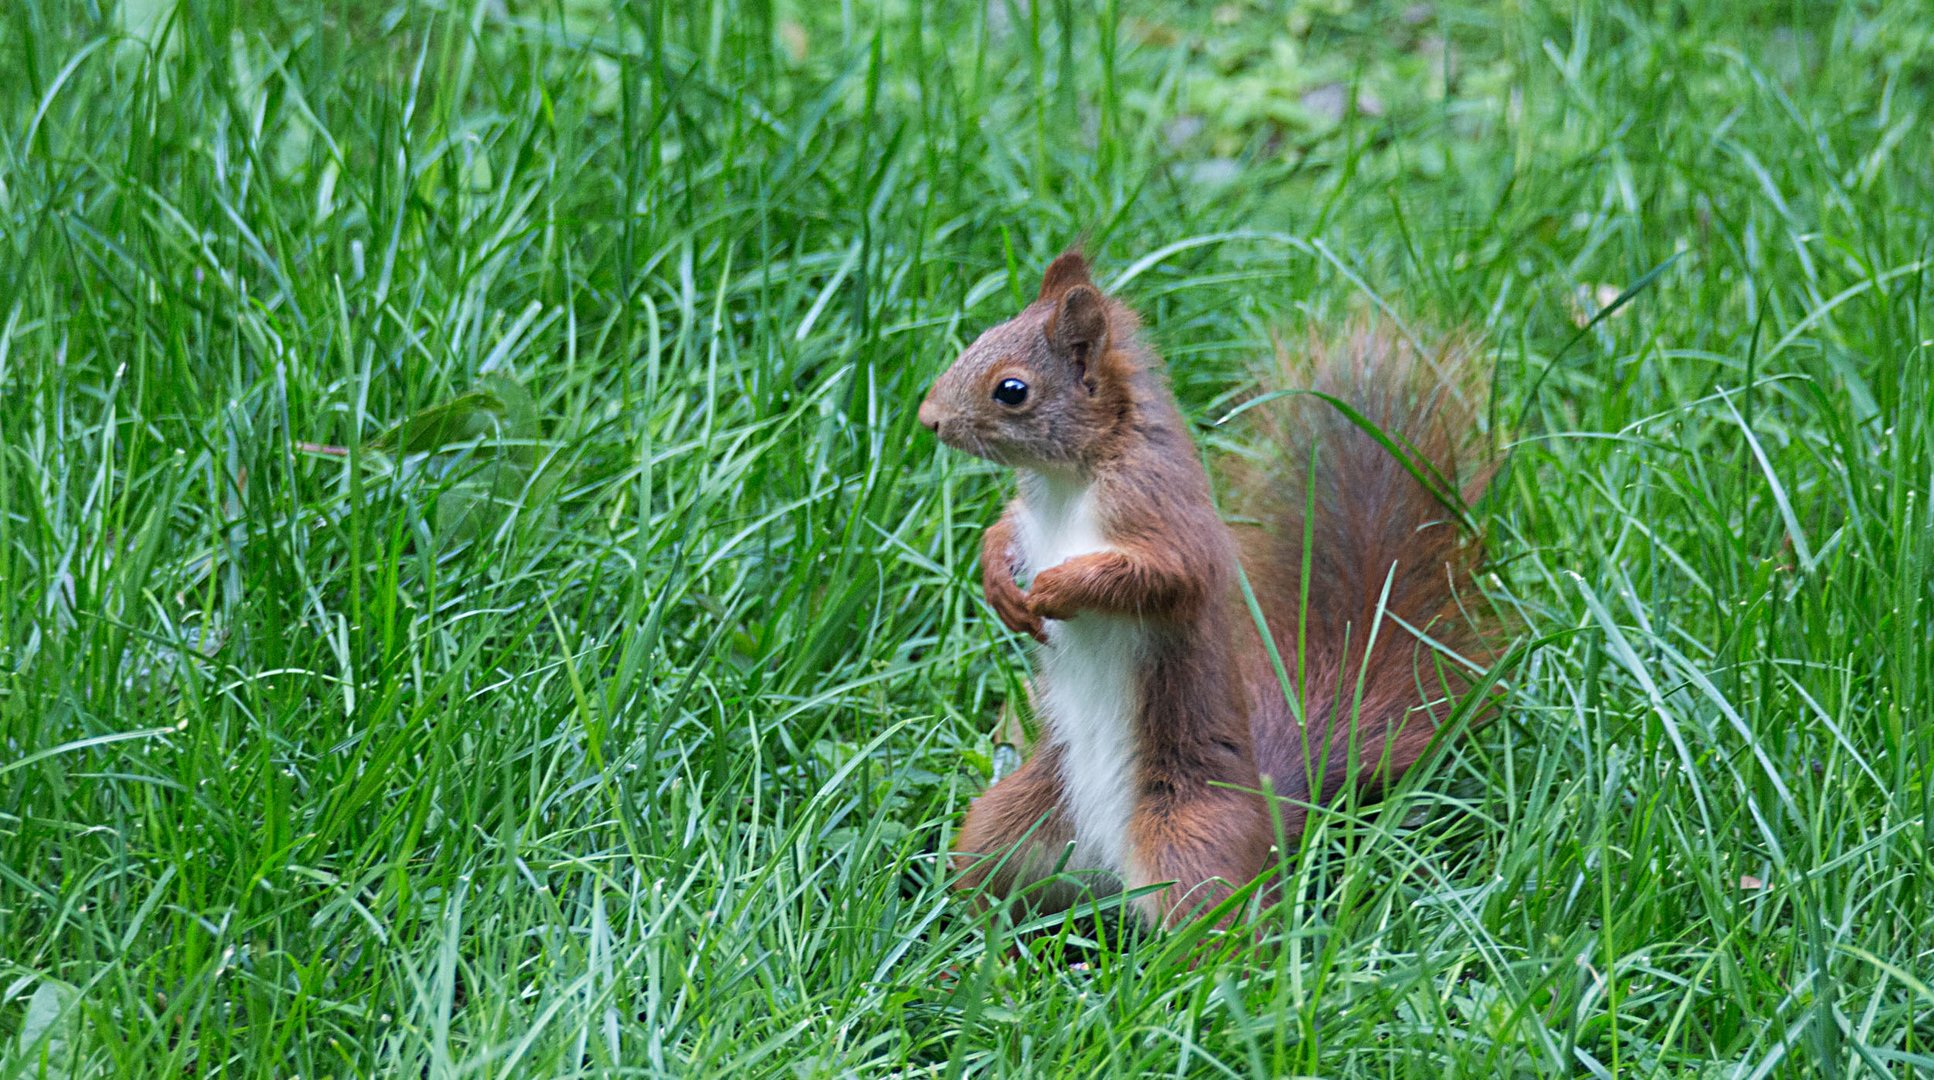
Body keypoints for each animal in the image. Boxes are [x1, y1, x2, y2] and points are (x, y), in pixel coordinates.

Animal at [920, 251, 1493, 932]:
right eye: (979, 338)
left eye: (1012, 389)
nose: (929, 419)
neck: (1068, 480)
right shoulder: (1032, 519)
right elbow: (1003, 530)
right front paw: (999, 583)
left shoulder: (1161, 511)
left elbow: (1160, 575)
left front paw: (1058, 587)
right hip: (1007, 828)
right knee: (994, 889)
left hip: (1189, 848)